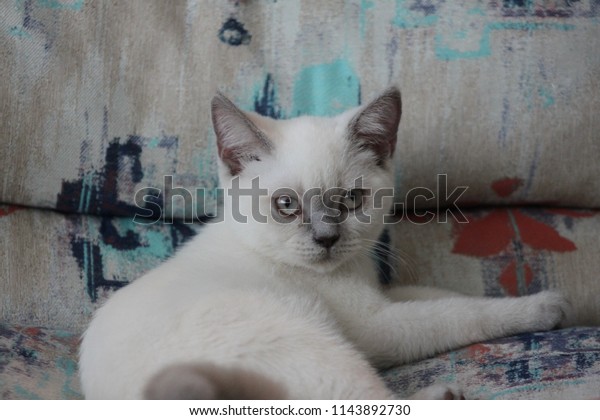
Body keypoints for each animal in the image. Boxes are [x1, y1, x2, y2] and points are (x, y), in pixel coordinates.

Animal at [78, 88, 568, 400]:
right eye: (286, 205)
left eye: (350, 199)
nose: (327, 238)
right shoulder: (376, 327)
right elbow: (459, 313)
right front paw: (544, 307)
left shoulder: (382, 296)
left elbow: (442, 295)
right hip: (313, 339)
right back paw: (444, 395)